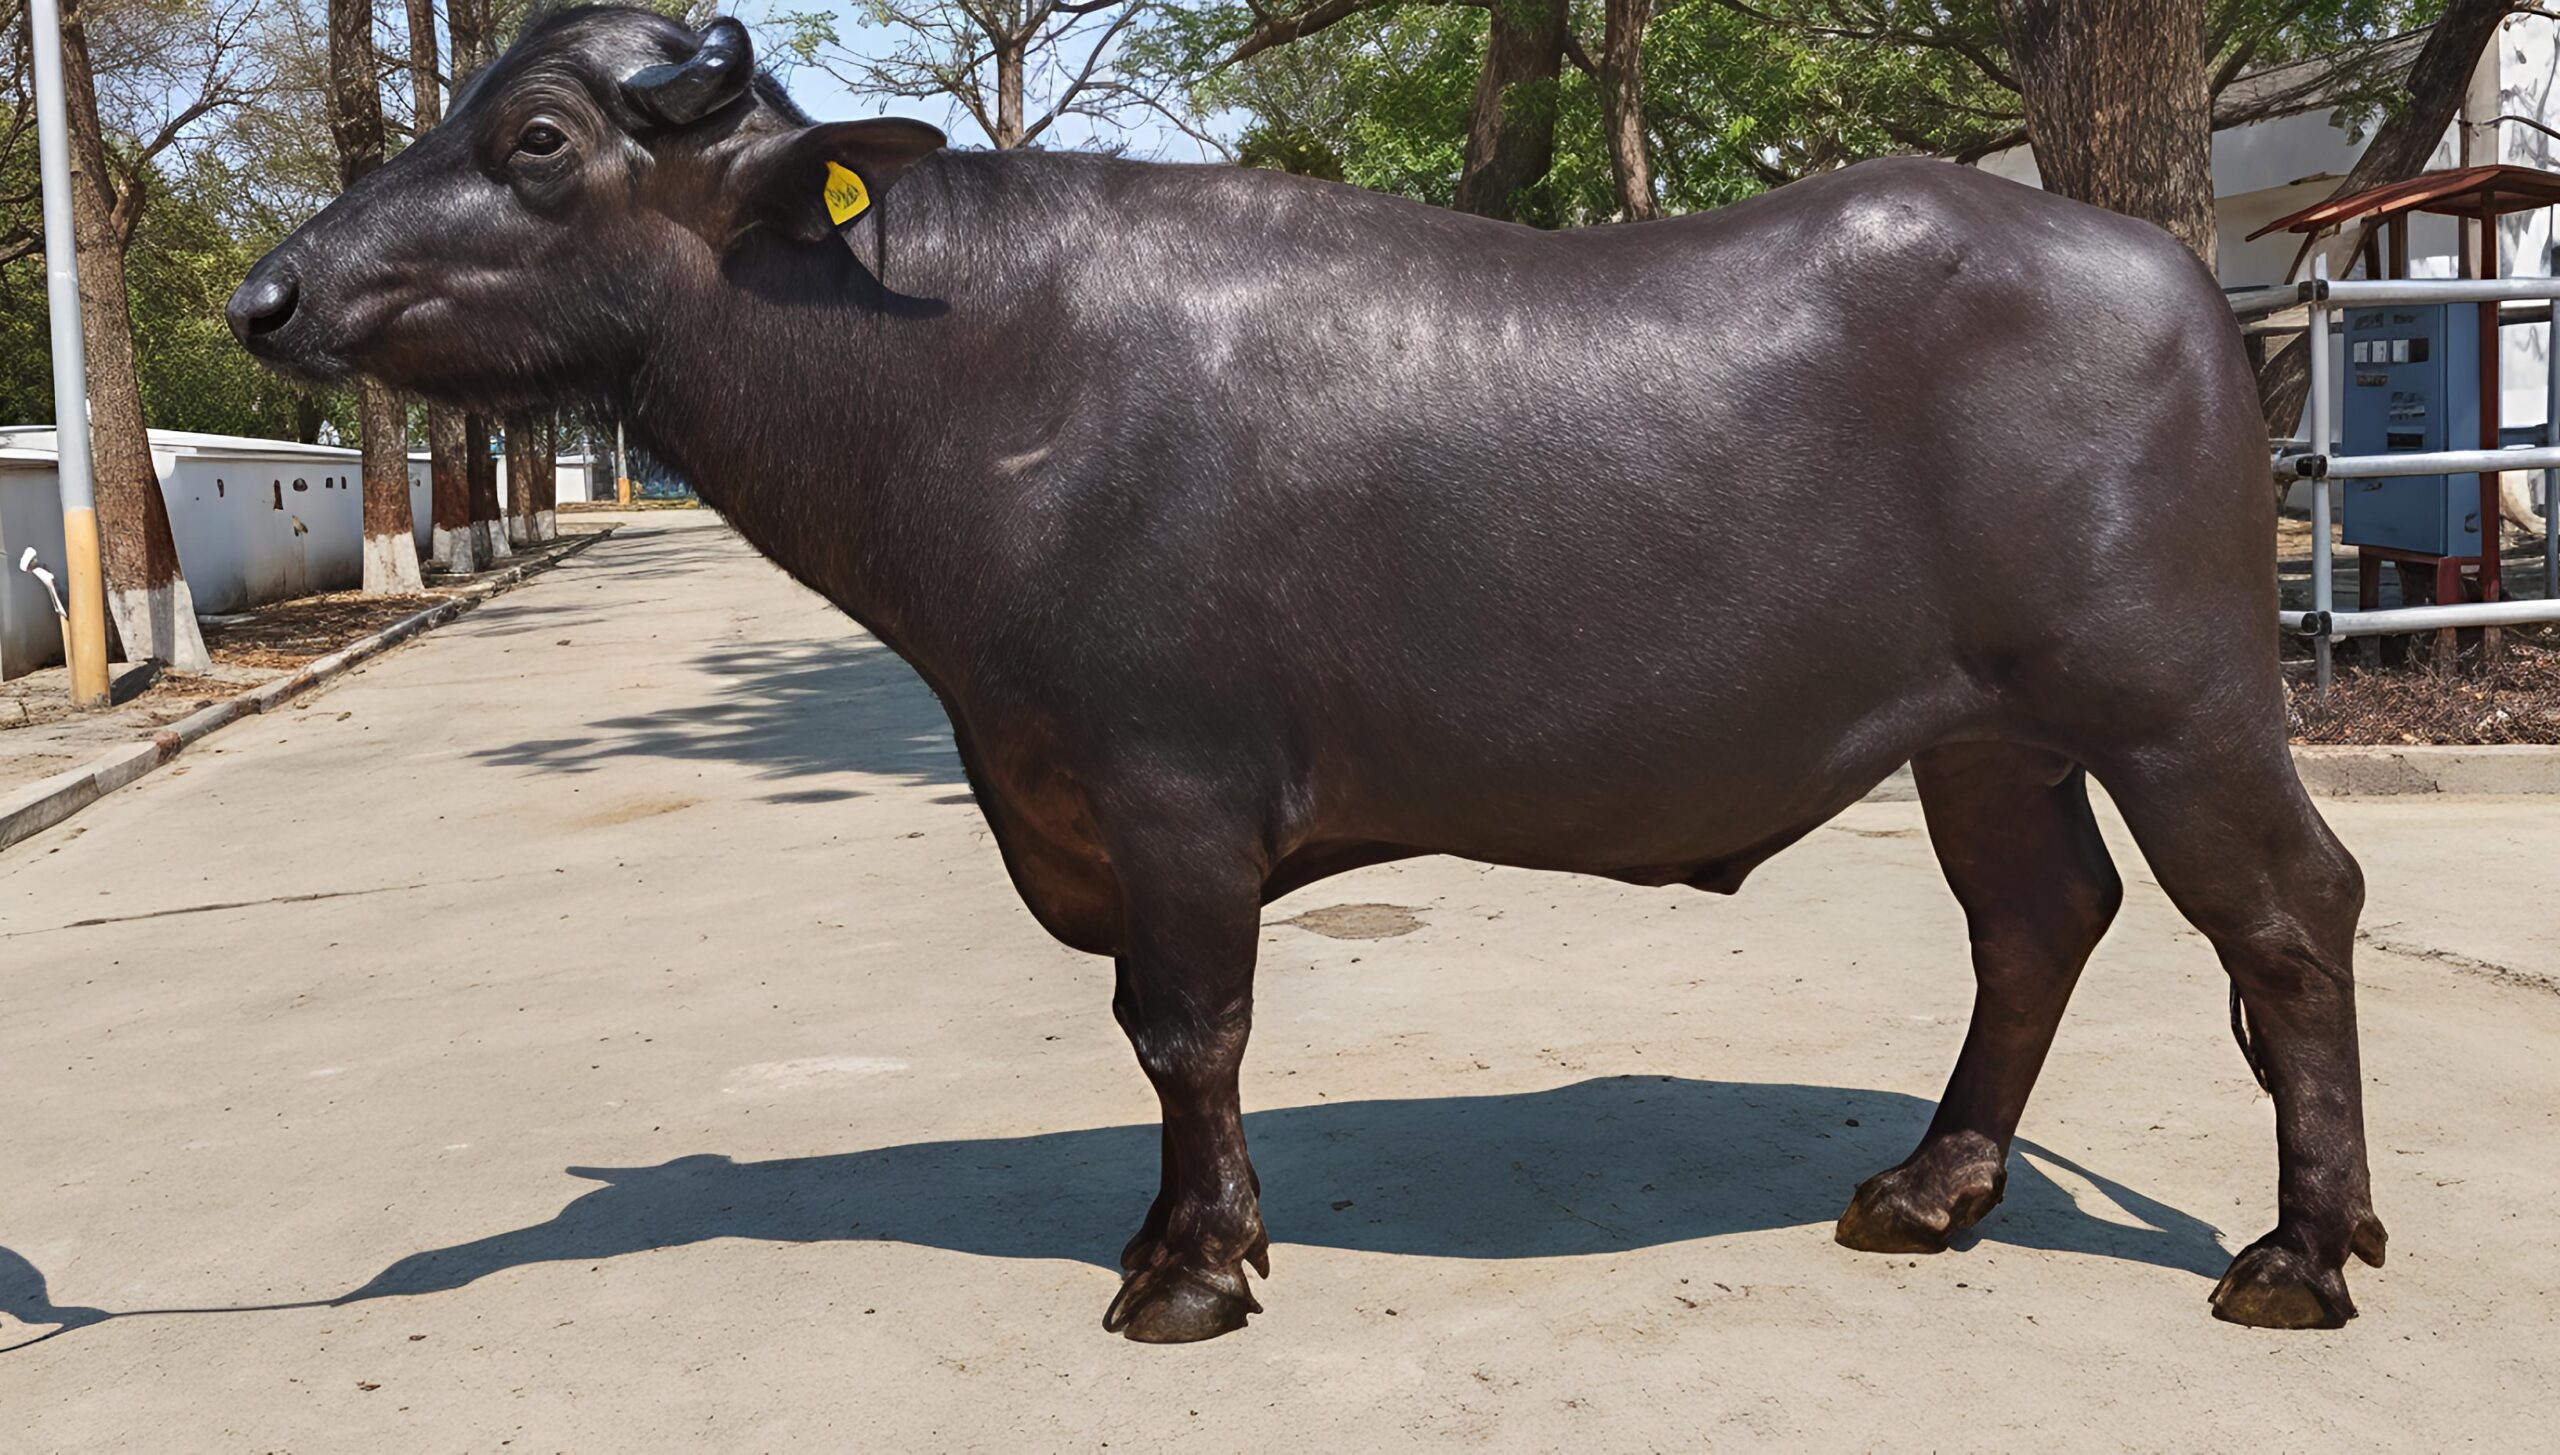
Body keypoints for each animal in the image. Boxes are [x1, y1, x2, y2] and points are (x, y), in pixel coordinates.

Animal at [230, 6, 2386, 1342]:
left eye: (535, 138)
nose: (268, 292)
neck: (976, 374)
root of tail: (2174, 278)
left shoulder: (1168, 779)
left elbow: (1184, 1025)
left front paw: (1186, 1269)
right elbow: (1166, 1031)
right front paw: (1194, 1230)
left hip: (2175, 697)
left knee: (2288, 908)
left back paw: (2300, 1249)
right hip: (1985, 733)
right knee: (2038, 919)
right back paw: (1931, 1187)